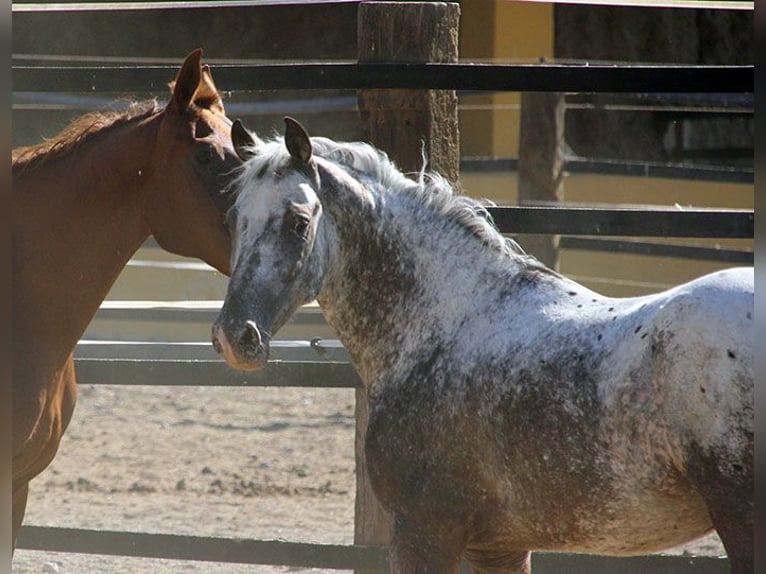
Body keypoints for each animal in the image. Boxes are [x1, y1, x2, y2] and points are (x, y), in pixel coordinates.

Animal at [213, 119, 752, 572]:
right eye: (235, 219)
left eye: (298, 222)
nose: (235, 337)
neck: (444, 323)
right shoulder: (499, 547)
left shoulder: (424, 532)